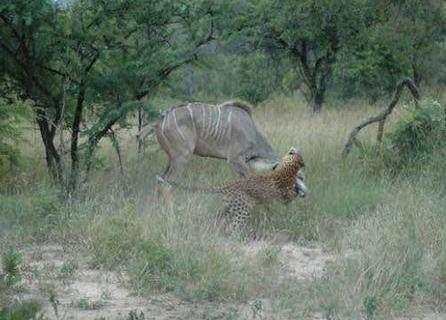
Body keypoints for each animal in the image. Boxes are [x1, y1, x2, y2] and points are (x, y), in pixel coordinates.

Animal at [162, 147, 308, 232]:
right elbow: (291, 195)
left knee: (219, 219)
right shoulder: (286, 196)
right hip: (243, 209)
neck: (287, 169)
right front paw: (300, 190)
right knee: (233, 226)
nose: (293, 148)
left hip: (229, 207)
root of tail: (230, 184)